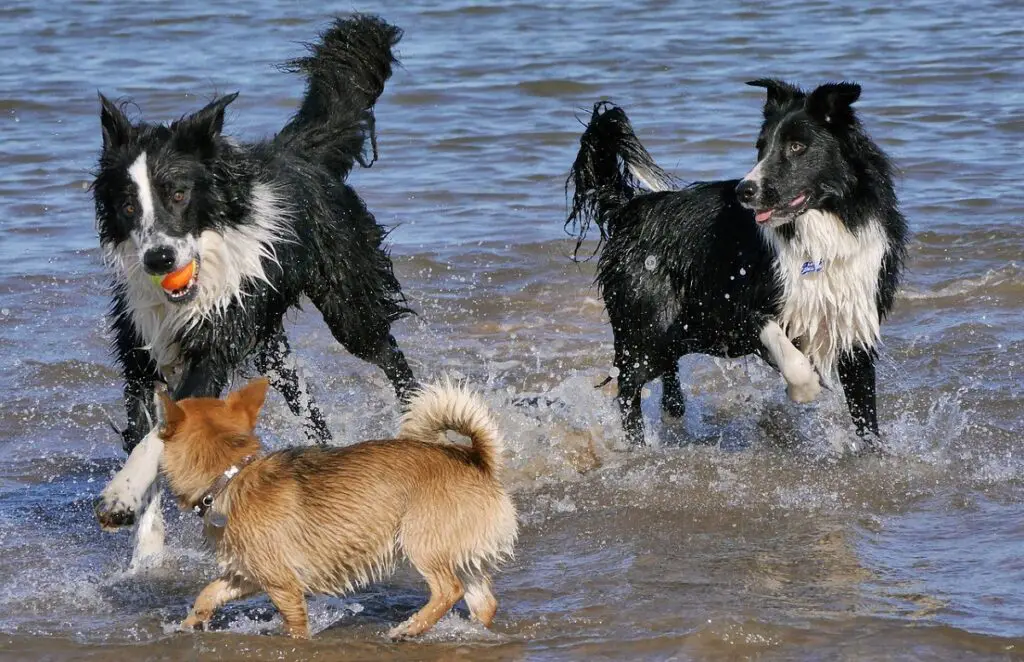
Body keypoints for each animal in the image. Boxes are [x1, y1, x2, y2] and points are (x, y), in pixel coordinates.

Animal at [91, 14, 415, 565]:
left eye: (179, 194)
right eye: (128, 206)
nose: (159, 259)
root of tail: (299, 152)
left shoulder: (213, 345)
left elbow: (160, 433)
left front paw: (120, 495)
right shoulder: (141, 351)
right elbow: (148, 430)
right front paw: (146, 552)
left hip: (348, 303)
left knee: (390, 355)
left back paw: (420, 418)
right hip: (270, 347)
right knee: (309, 408)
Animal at [154, 379, 516, 643]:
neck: (230, 477)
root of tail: (477, 460)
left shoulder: (283, 586)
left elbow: (295, 627)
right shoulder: (248, 575)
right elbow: (207, 595)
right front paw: (190, 624)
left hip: (422, 545)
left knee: (447, 590)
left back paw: (409, 628)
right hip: (463, 556)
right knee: (484, 602)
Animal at [569, 80, 913, 448]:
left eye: (796, 147)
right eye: (760, 148)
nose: (743, 191)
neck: (819, 235)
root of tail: (628, 209)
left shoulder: (853, 326)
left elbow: (865, 414)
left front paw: (872, 450)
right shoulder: (730, 308)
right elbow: (792, 357)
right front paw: (802, 390)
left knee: (664, 371)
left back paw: (674, 414)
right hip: (647, 323)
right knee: (629, 386)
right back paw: (638, 446)